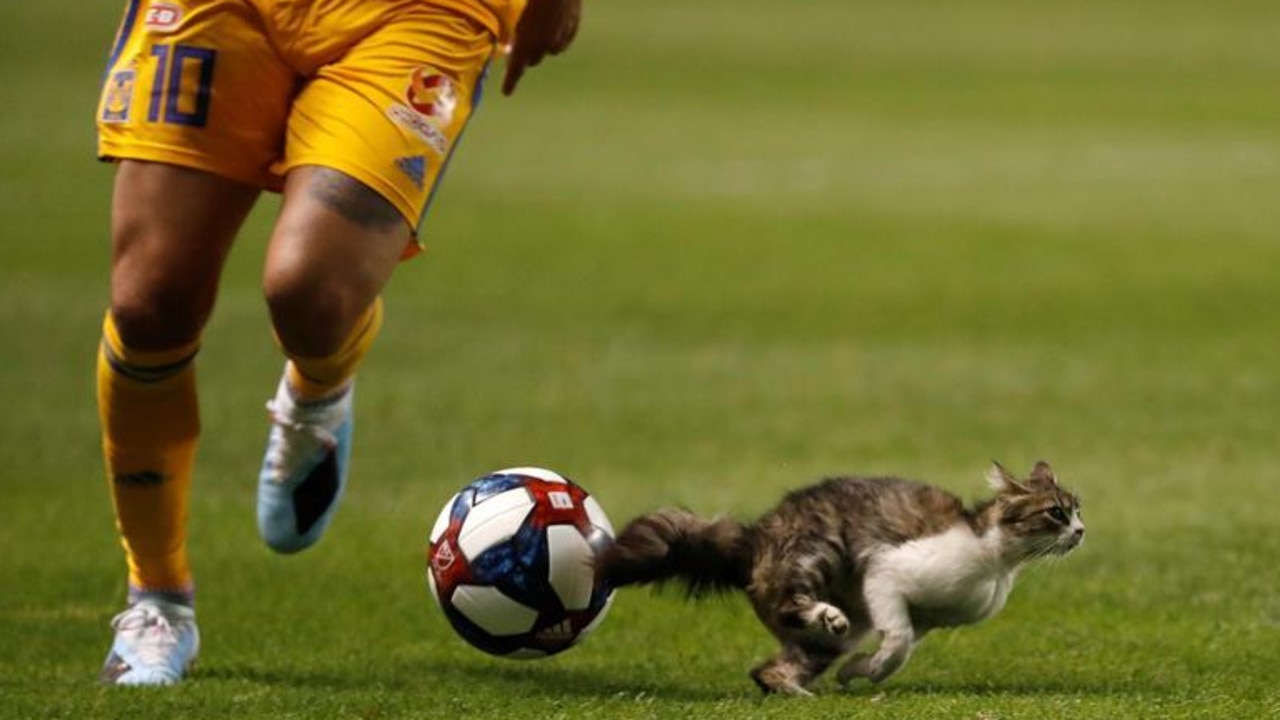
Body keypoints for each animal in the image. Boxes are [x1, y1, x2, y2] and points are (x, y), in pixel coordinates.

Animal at [593, 461, 1085, 691]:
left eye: (1079, 509)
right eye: (1056, 513)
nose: (1082, 531)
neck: (996, 561)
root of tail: (754, 537)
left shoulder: (927, 618)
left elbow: (901, 648)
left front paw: (858, 671)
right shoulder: (887, 572)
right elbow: (898, 642)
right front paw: (871, 668)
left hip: (833, 632)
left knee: (766, 670)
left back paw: (797, 690)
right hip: (817, 550)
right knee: (790, 605)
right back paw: (824, 615)